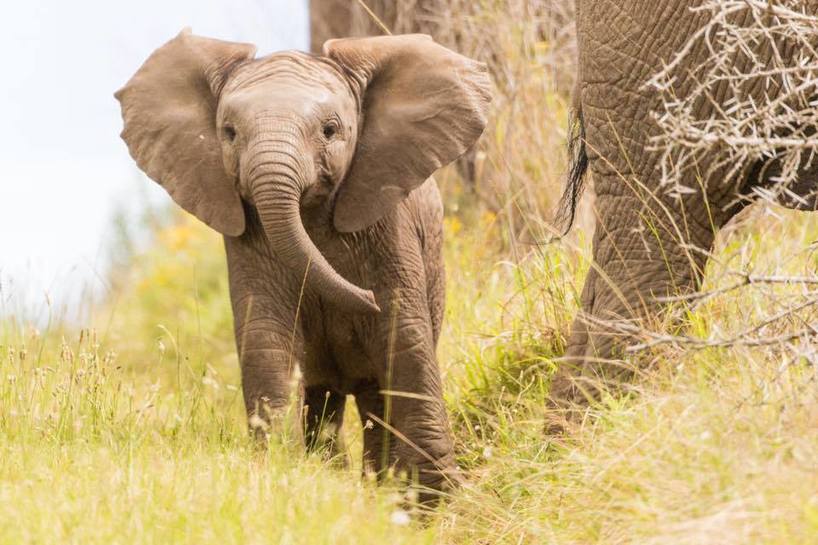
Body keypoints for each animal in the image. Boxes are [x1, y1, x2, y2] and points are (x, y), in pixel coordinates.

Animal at [115, 29, 490, 498]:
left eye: (330, 130)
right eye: (229, 132)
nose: (365, 296)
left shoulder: (391, 225)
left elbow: (404, 335)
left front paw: (437, 499)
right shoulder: (248, 236)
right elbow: (267, 340)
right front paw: (282, 474)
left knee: (372, 396)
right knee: (325, 399)